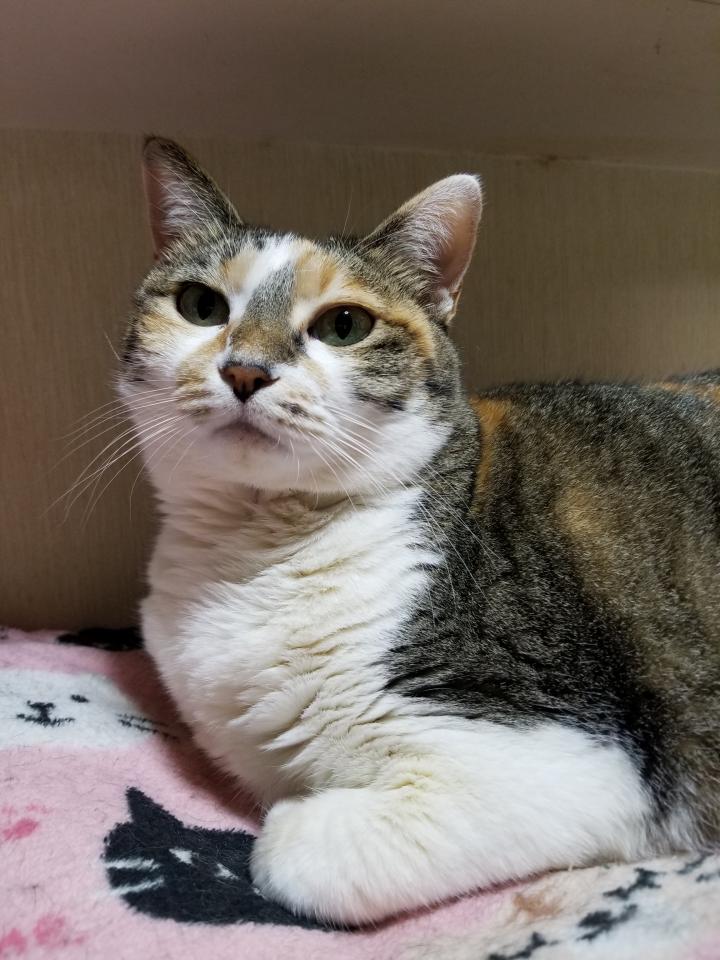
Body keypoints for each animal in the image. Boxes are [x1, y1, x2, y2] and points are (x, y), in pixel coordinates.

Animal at [118, 136, 720, 925]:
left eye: (344, 325)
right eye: (200, 306)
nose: (246, 370)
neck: (254, 549)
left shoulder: (578, 756)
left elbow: (291, 848)